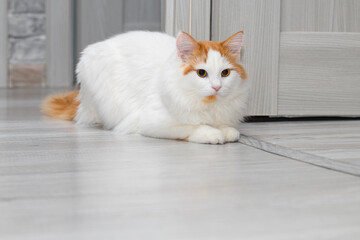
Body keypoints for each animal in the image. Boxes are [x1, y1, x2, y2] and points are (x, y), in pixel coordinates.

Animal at [42, 31, 249, 145]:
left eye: (225, 73)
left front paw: (225, 130)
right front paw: (212, 133)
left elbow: (230, 129)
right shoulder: (152, 122)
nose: (216, 87)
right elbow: (191, 126)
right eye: (201, 73)